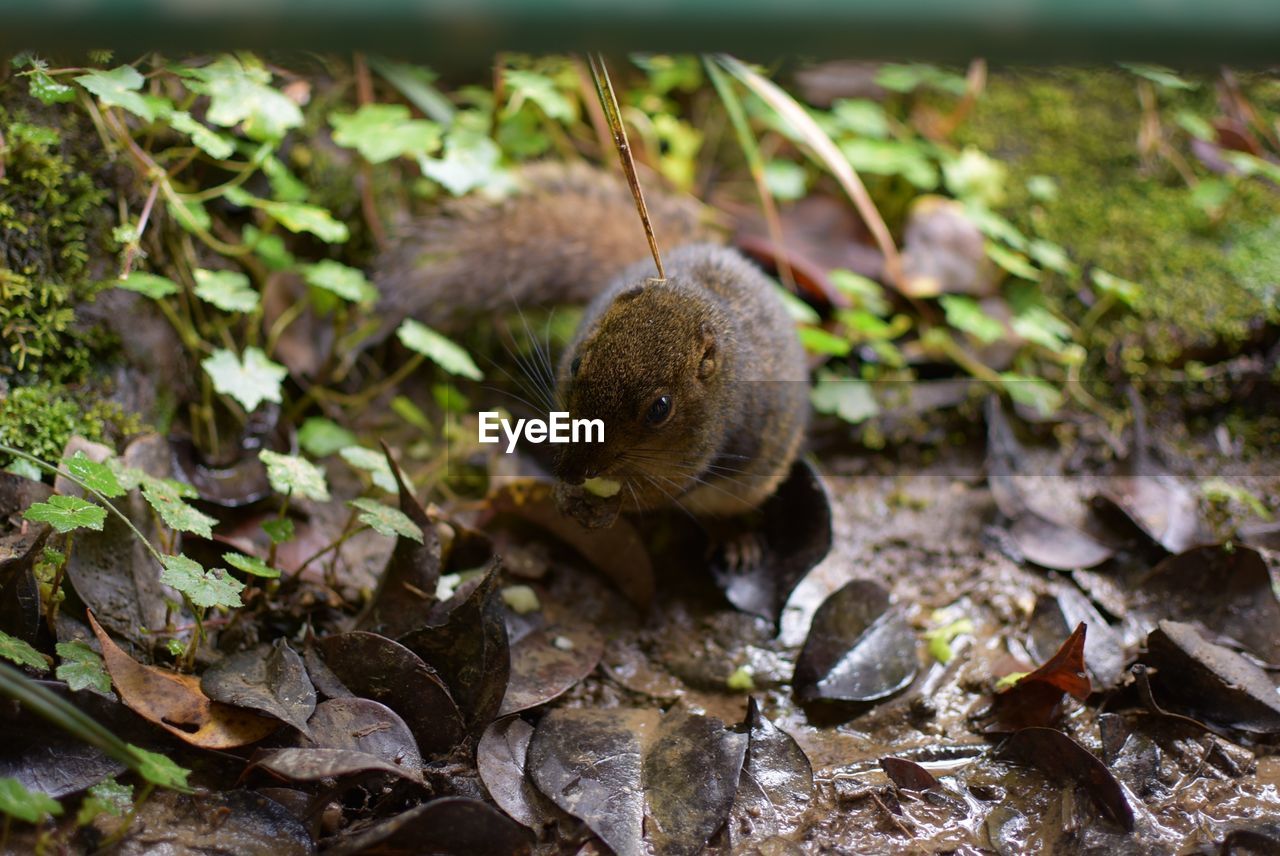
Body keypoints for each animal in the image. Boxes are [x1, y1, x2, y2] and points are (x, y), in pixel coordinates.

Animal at [373, 159, 808, 522]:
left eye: (660, 409)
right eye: (576, 363)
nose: (570, 472)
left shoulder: (704, 451)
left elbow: (655, 495)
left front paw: (608, 504)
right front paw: (563, 492)